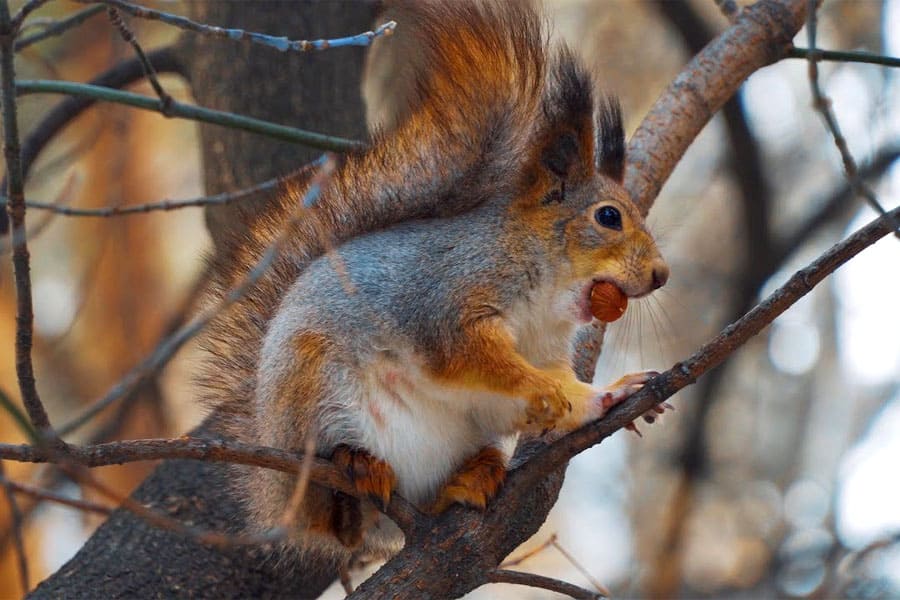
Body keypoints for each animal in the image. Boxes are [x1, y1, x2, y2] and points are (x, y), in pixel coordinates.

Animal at [199, 0, 668, 564]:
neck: (545, 298)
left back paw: (469, 478)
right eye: (608, 217)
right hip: (309, 394)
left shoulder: (547, 350)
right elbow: (476, 358)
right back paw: (353, 470)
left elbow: (563, 390)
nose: (661, 275)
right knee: (330, 516)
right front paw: (542, 389)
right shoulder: (447, 300)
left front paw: (610, 395)